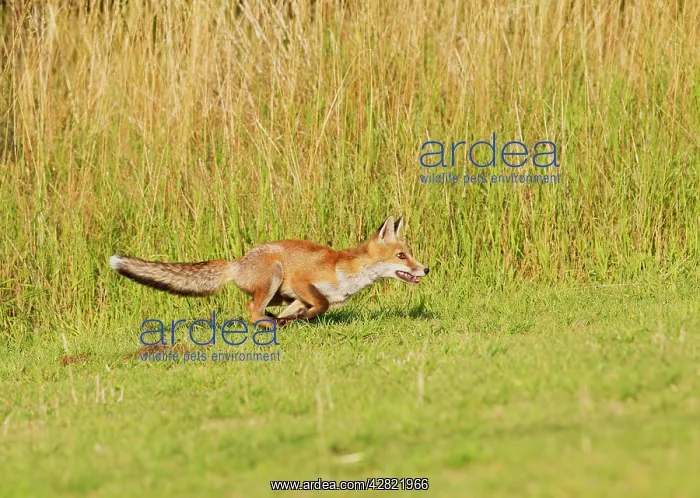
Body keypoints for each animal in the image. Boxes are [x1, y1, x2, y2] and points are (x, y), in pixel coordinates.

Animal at [110, 216, 429, 326]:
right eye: (401, 256)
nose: (425, 269)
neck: (347, 272)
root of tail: (237, 262)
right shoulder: (303, 281)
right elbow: (321, 305)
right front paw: (303, 319)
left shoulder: (298, 296)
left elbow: (308, 308)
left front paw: (296, 320)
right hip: (275, 275)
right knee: (252, 309)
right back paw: (268, 324)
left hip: (278, 293)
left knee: (258, 308)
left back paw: (275, 322)